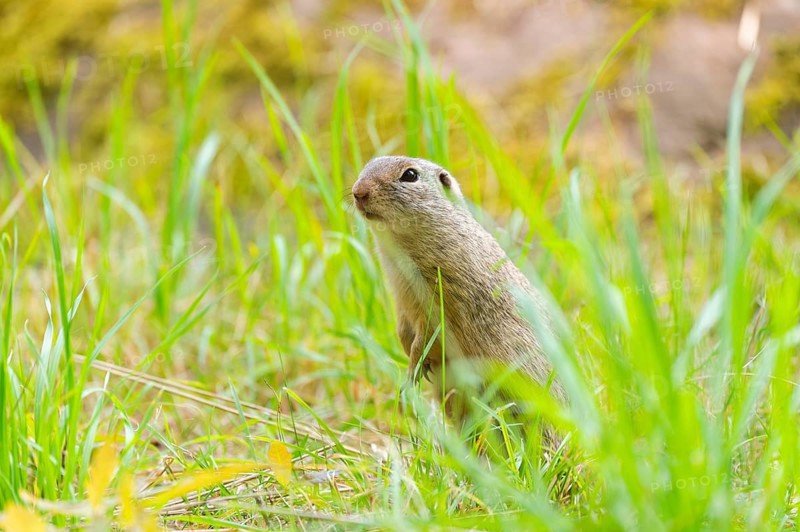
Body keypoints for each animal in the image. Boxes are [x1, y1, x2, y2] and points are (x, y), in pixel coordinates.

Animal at [352, 155, 566, 423]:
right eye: (369, 164)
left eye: (410, 175)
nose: (358, 191)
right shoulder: (401, 299)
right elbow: (402, 328)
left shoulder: (440, 302)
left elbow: (427, 336)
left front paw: (413, 370)